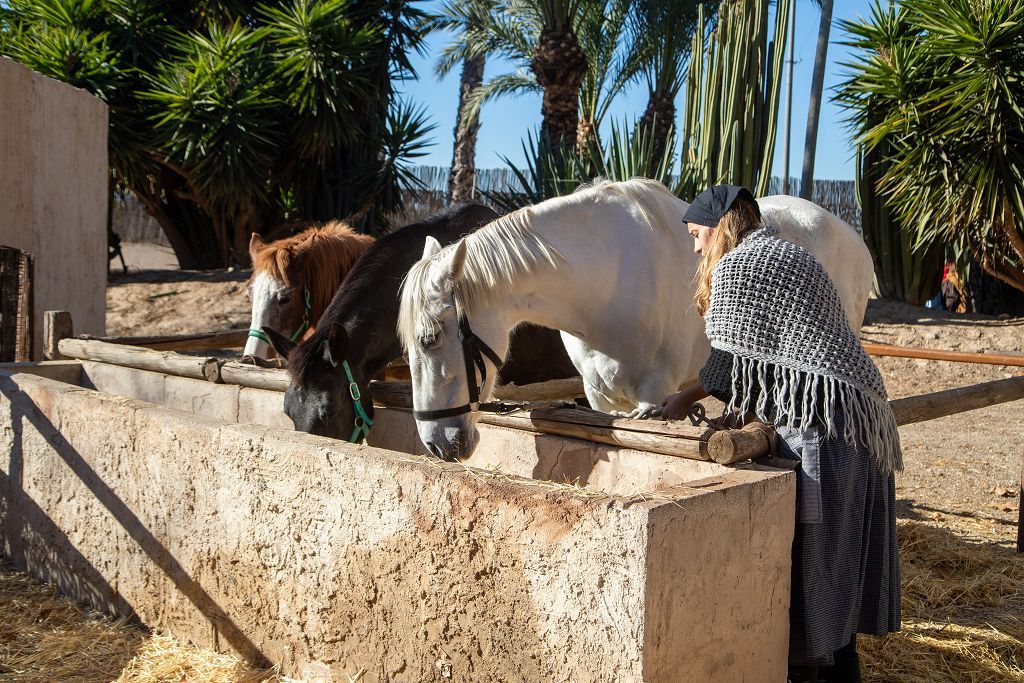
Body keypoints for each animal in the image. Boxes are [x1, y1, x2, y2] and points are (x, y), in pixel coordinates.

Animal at [395, 179, 868, 462]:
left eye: (431, 338)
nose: (436, 444)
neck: (603, 288)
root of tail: (853, 237)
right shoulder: (599, 396)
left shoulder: (652, 394)